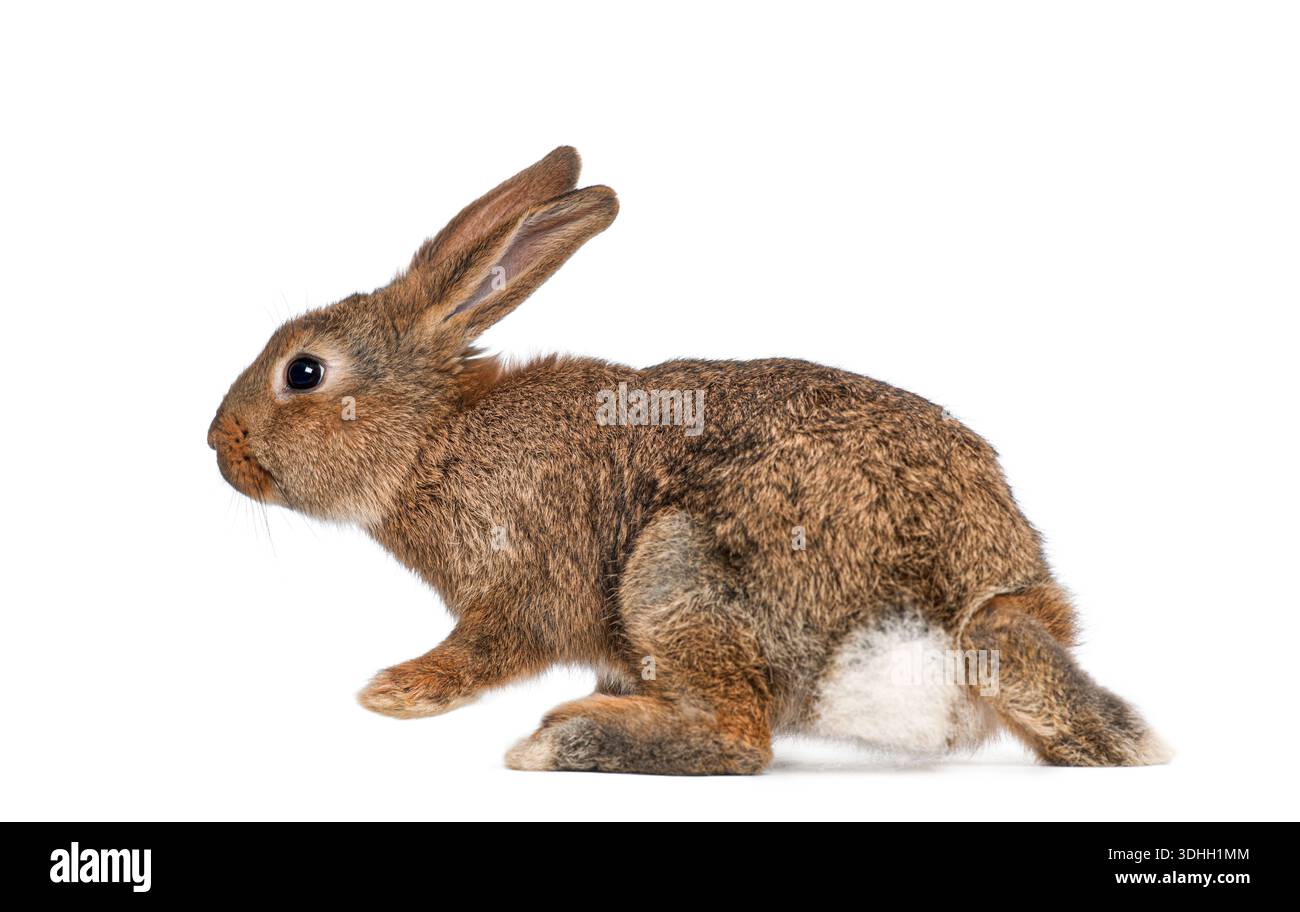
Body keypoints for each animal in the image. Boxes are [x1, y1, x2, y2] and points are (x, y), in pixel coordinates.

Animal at [209, 146, 1170, 773]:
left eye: (304, 372)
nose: (219, 446)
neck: (431, 440)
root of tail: (976, 621)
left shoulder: (517, 588)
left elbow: (486, 647)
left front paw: (396, 692)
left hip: (674, 567)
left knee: (742, 739)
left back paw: (567, 738)